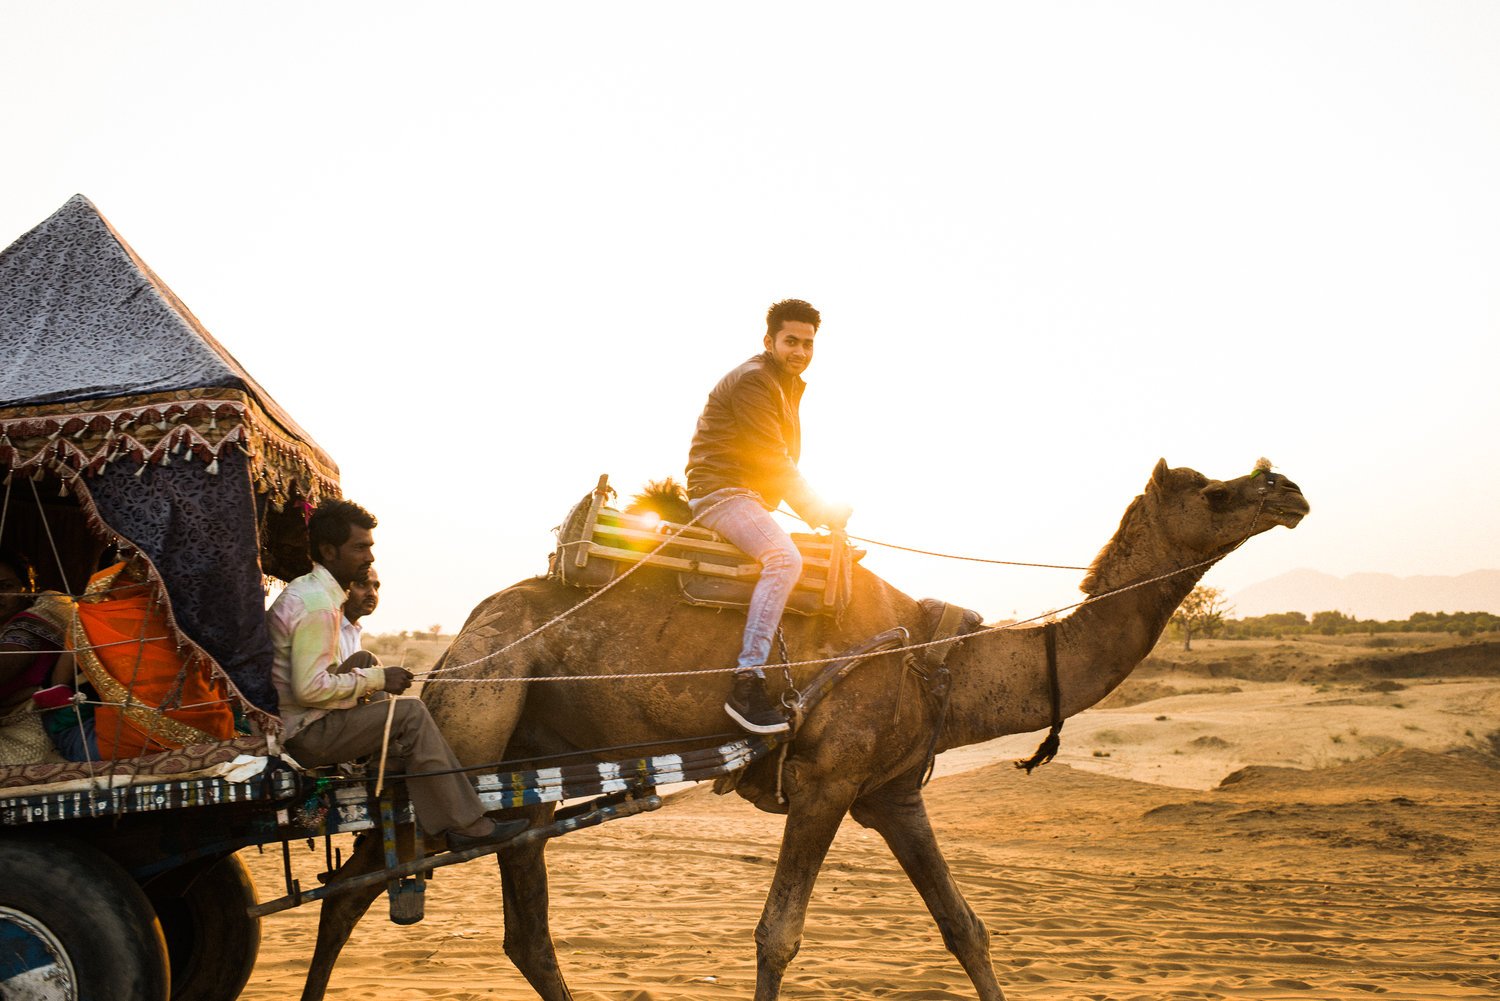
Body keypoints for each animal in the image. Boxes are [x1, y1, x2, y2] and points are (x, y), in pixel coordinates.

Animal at [292, 459, 1302, 996]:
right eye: (1211, 490)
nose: (1286, 487)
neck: (940, 660)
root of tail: (460, 641)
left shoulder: (892, 794)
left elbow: (966, 926)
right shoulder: (823, 780)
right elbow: (778, 933)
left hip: (528, 765)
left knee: (523, 928)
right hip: (469, 722)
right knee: (353, 885)